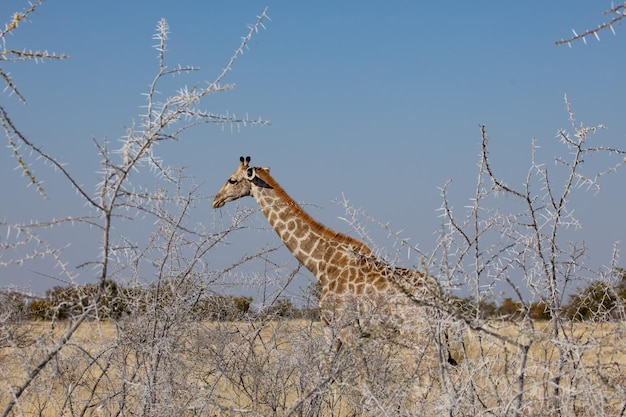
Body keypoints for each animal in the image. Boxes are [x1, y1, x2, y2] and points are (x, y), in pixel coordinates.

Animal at [212, 156, 442, 348]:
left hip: (419, 332)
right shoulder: (339, 331)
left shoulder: (342, 327)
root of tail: (437, 290)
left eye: (232, 180)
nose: (215, 200)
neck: (321, 264)